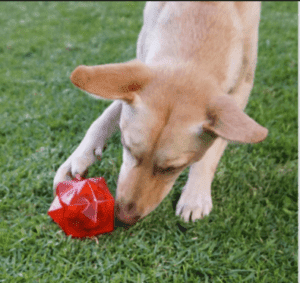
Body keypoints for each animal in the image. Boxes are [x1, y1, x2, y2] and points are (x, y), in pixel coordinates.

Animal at [53, 1, 268, 225]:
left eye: (171, 169)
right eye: (127, 147)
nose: (124, 219)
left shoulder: (240, 91)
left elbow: (214, 148)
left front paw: (195, 194)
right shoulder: (140, 67)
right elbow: (109, 112)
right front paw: (79, 156)